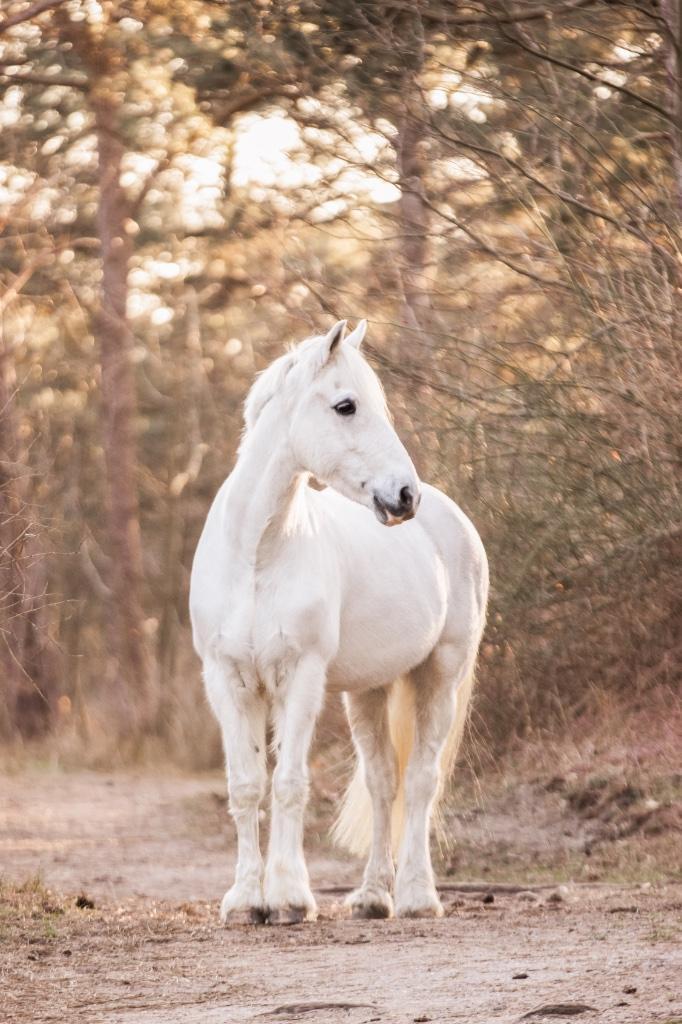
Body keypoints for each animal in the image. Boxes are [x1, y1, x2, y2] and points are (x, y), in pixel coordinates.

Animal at [189, 319, 488, 925]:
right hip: (369, 691)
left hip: (440, 674)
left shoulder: (300, 678)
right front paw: (244, 901)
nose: (404, 495)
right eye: (346, 405)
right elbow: (246, 786)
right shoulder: (227, 679)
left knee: (420, 782)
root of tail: (452, 517)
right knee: (382, 784)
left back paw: (418, 896)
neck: (256, 557)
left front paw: (288, 898)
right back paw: (373, 897)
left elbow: (289, 784)